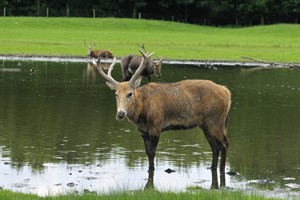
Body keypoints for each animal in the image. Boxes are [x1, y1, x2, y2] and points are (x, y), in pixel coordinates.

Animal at [95, 50, 231, 177]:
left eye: (130, 93)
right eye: (116, 94)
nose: (121, 113)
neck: (142, 114)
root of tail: (227, 92)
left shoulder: (156, 125)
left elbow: (152, 152)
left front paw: (151, 169)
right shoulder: (143, 131)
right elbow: (146, 151)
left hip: (216, 120)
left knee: (224, 144)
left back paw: (222, 169)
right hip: (206, 124)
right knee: (215, 147)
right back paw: (212, 167)